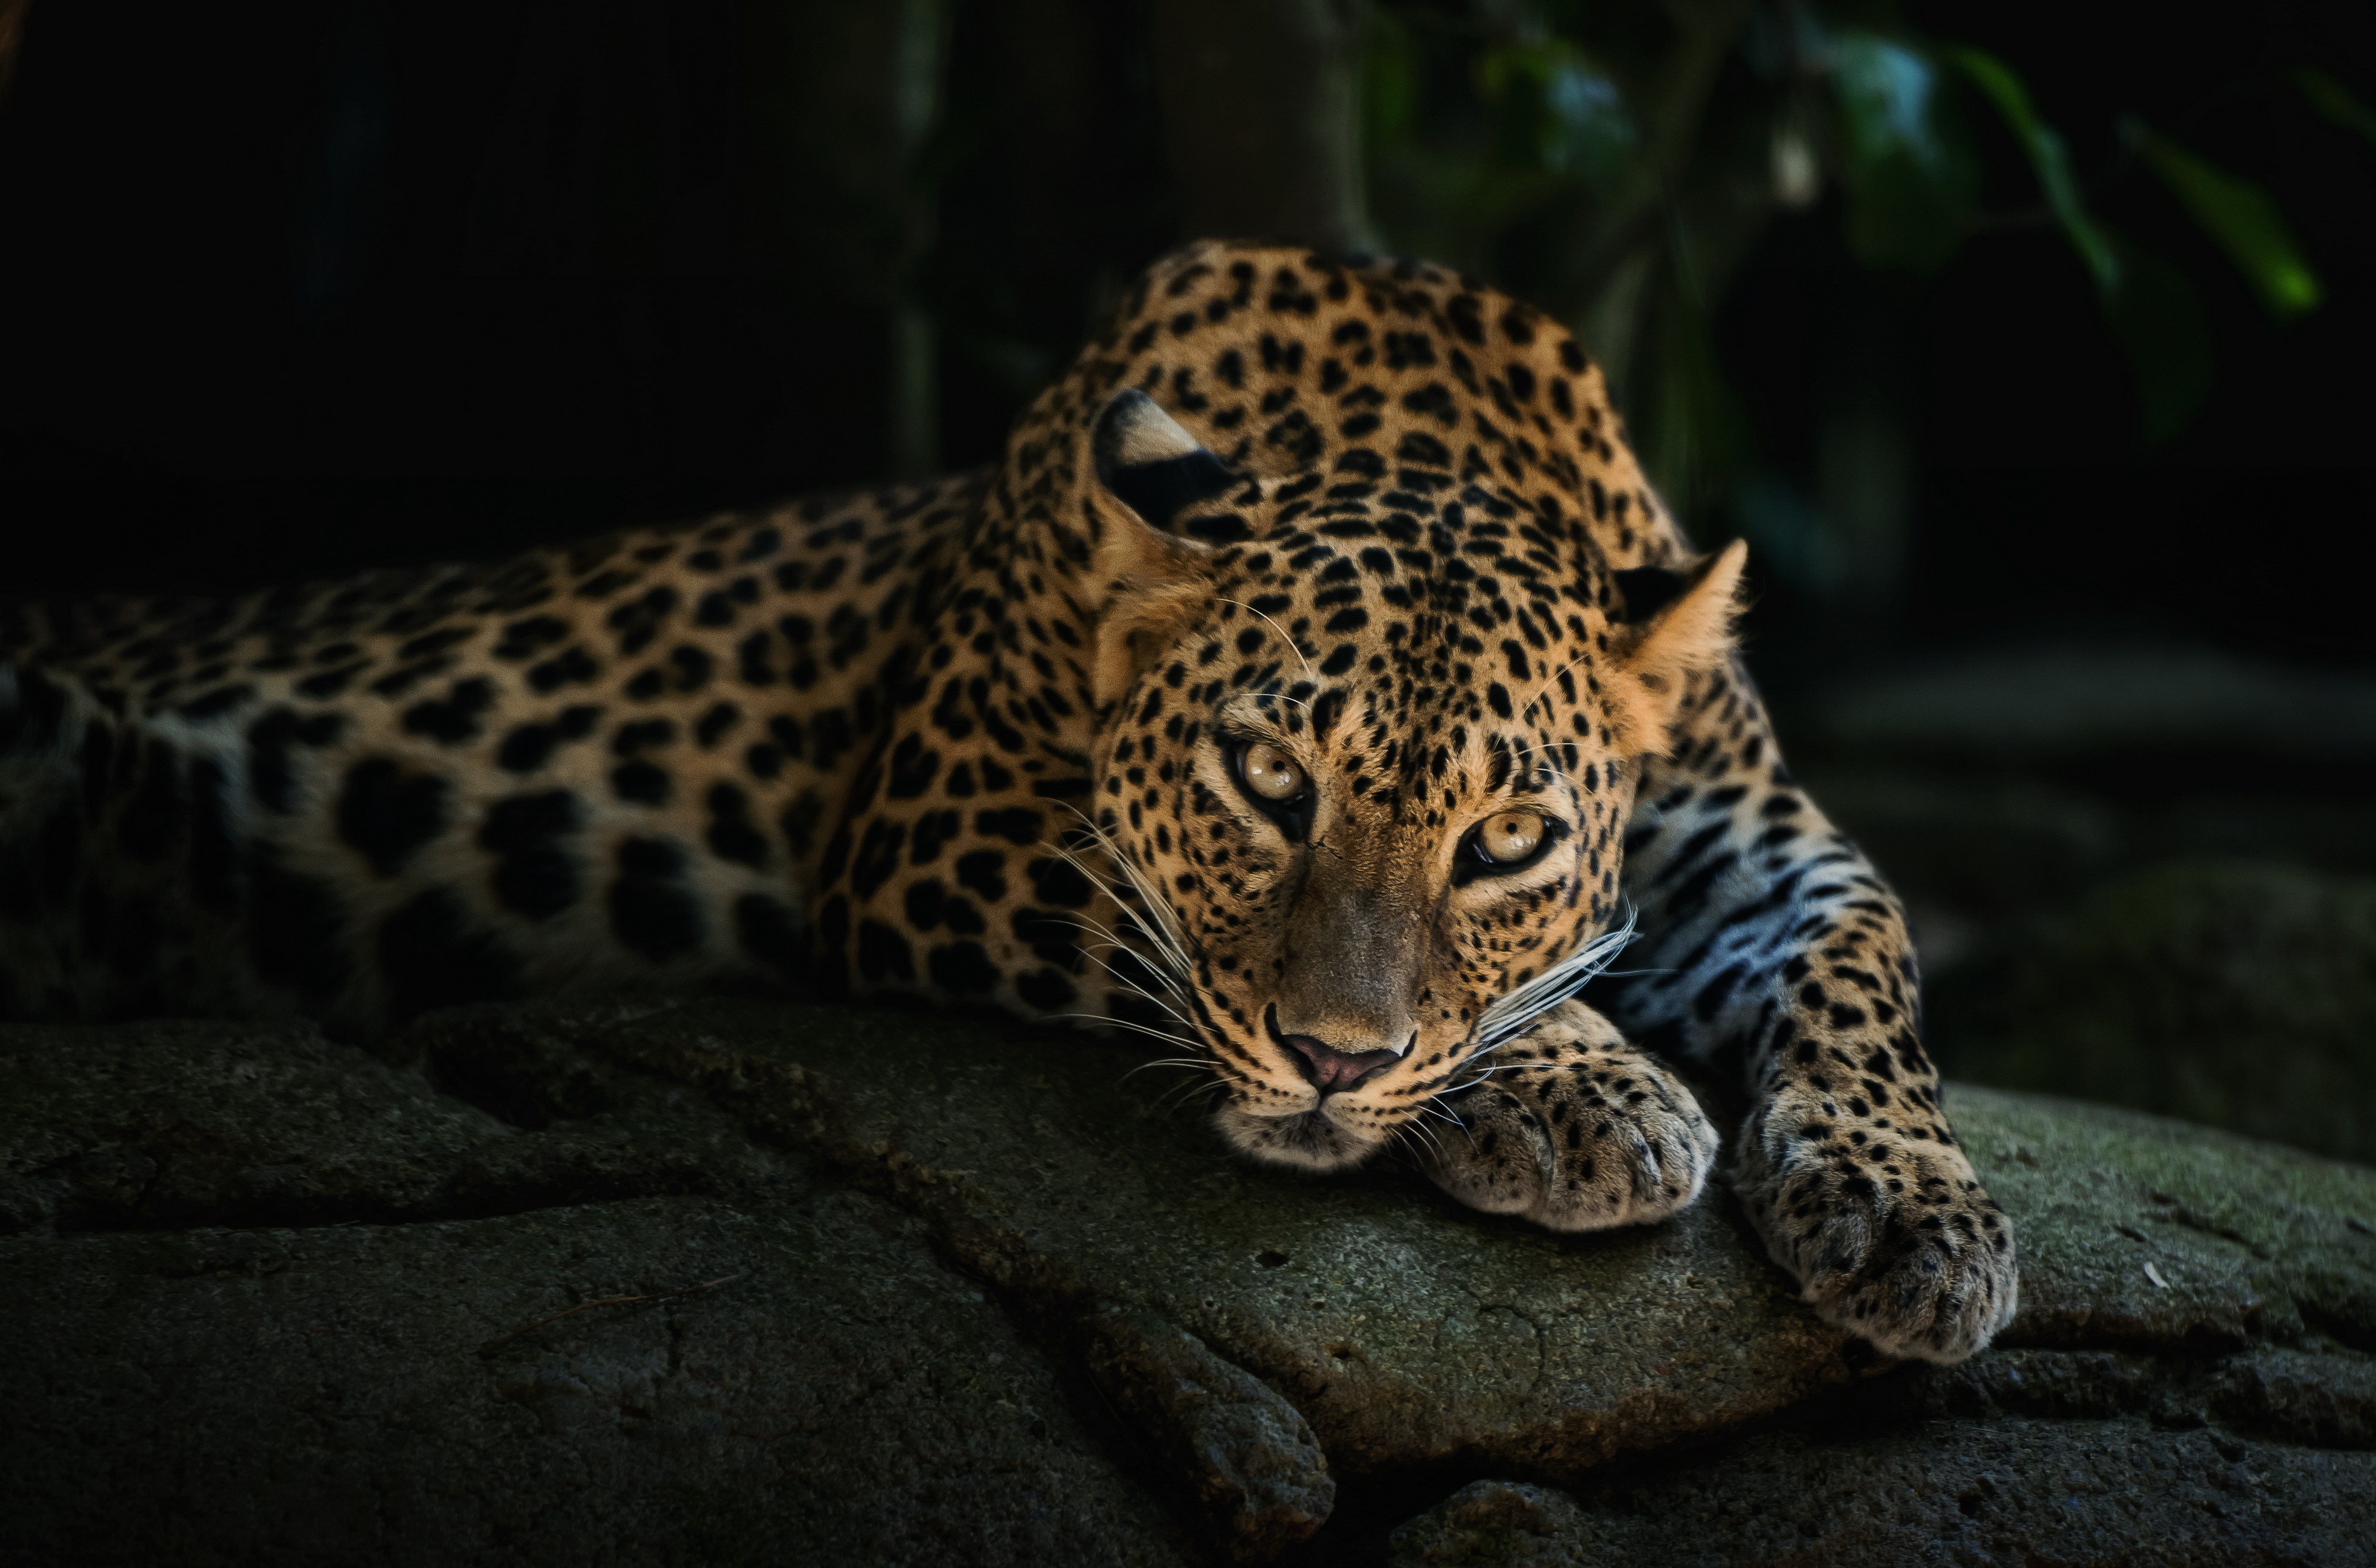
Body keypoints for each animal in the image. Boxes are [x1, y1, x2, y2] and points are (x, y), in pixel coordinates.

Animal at [0, 233, 2015, 1359]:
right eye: (1264, 779)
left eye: (1507, 839)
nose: (1335, 1066)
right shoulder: (934, 834)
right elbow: (1202, 951)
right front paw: (1589, 1089)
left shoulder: (1759, 843)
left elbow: (1871, 962)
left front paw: (1915, 1213)